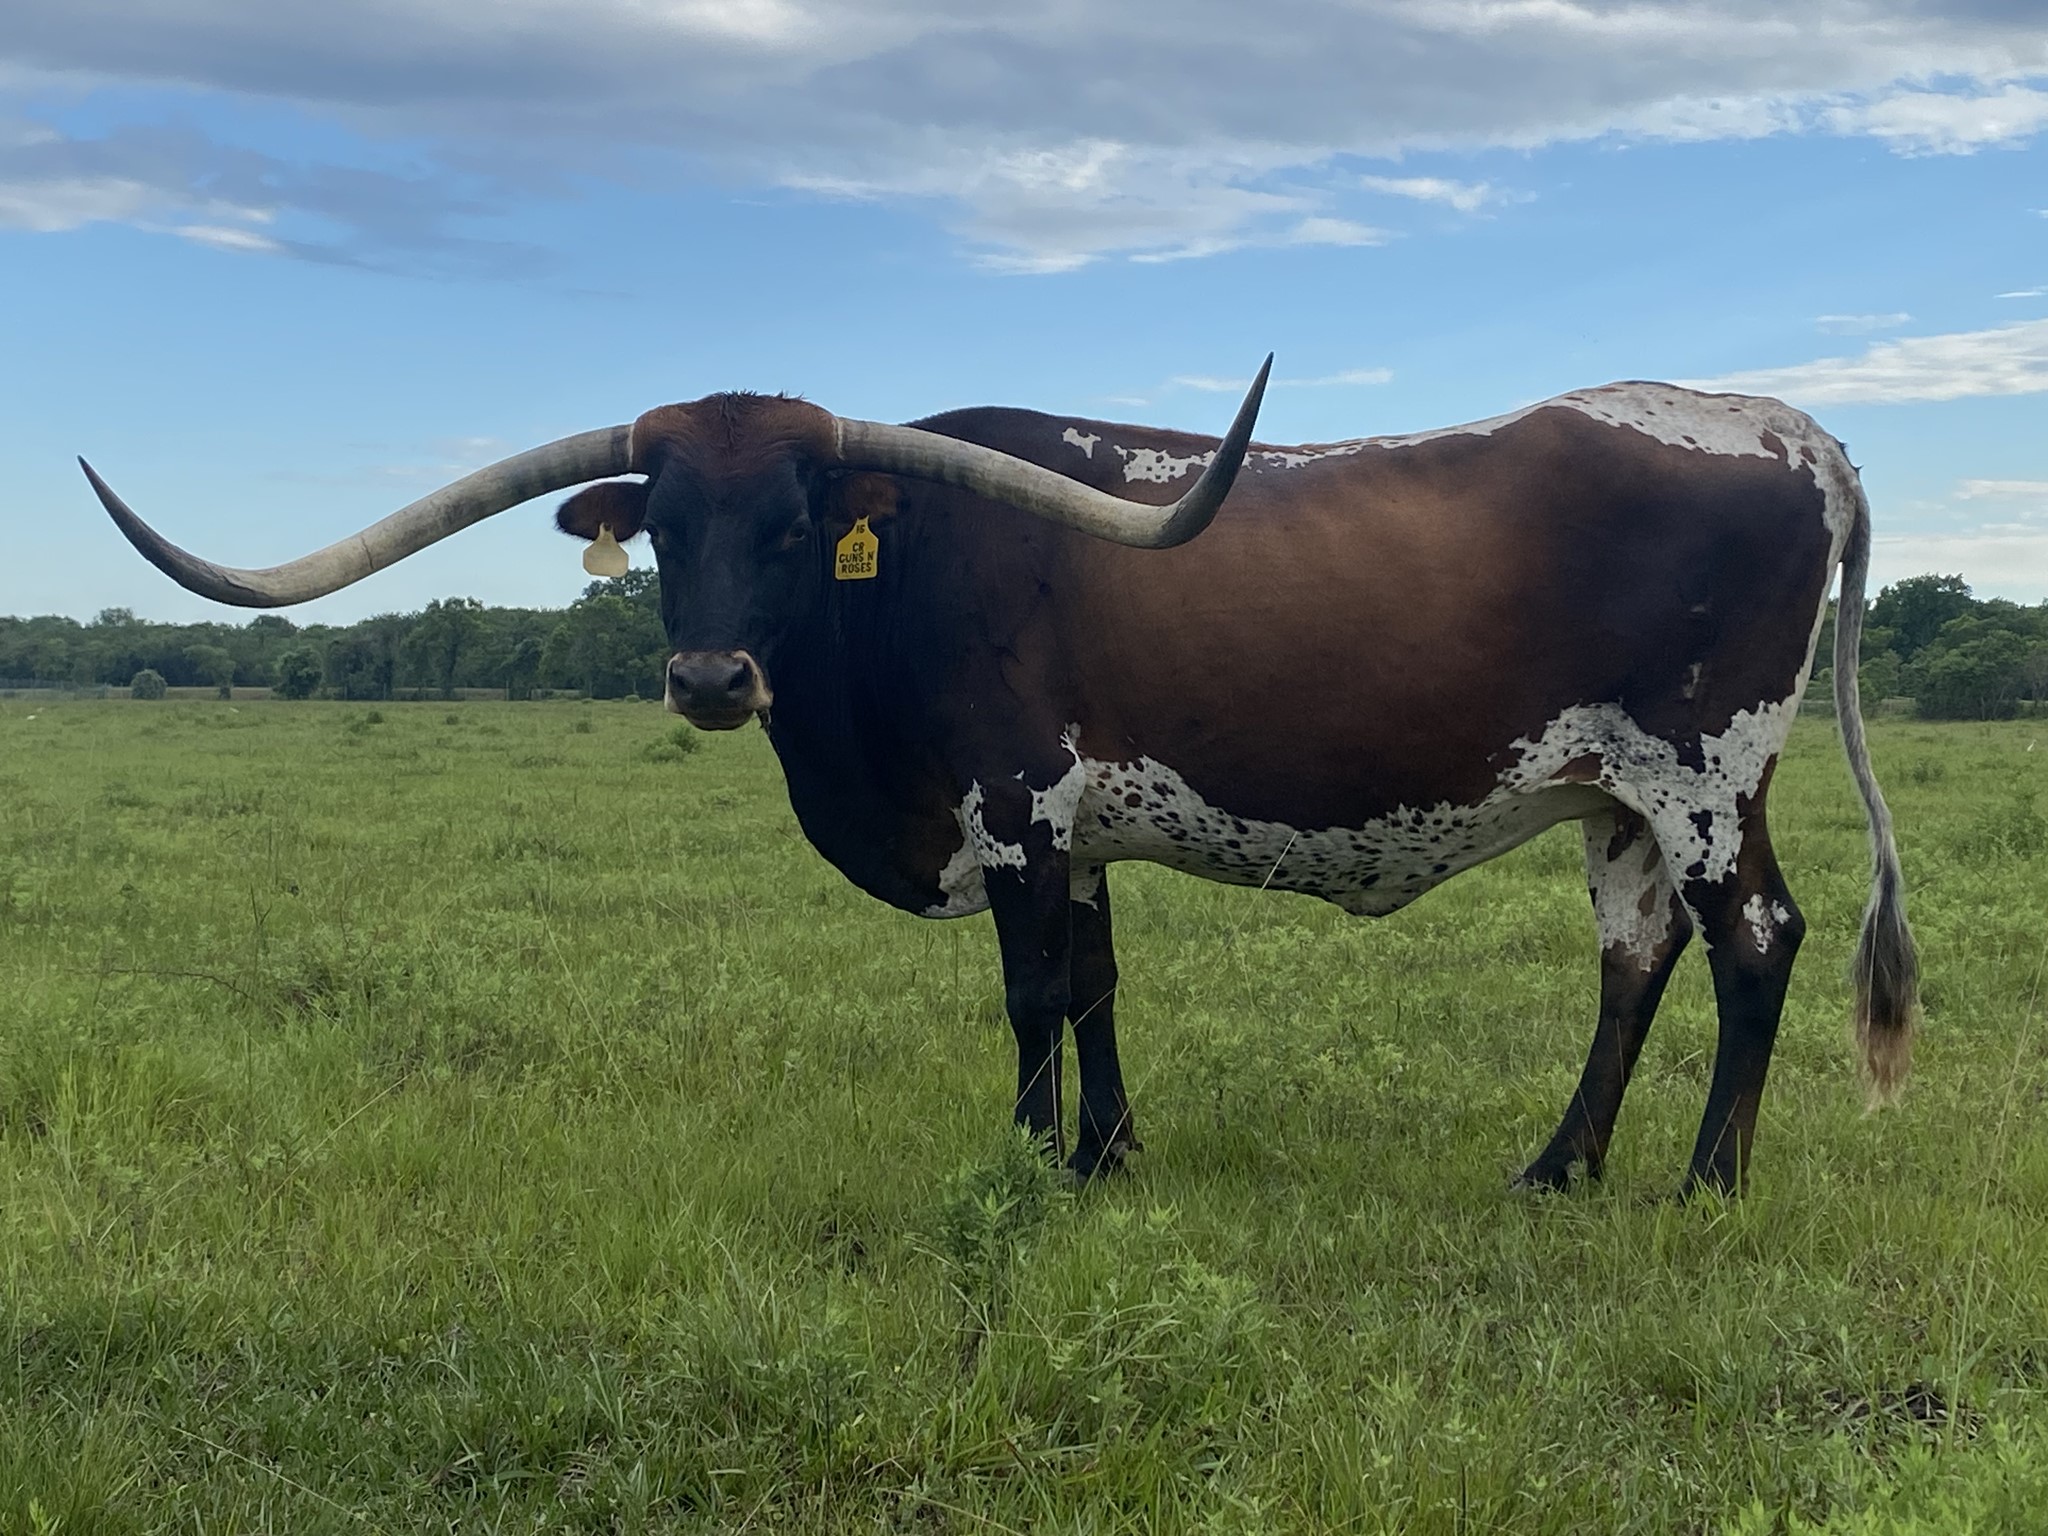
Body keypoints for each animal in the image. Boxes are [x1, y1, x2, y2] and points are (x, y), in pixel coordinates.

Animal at [80, 361, 1917, 1196]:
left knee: (1753, 942)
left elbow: (1032, 993)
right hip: (1616, 798)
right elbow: (1098, 983)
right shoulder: (1083, 834)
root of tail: (1792, 431)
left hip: (1704, 774)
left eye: (797, 523)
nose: (709, 678)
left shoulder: (1021, 811)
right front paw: (1107, 1154)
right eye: (662, 525)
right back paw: (1557, 1169)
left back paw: (1701, 1183)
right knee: (1635, 957)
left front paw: (1031, 1171)